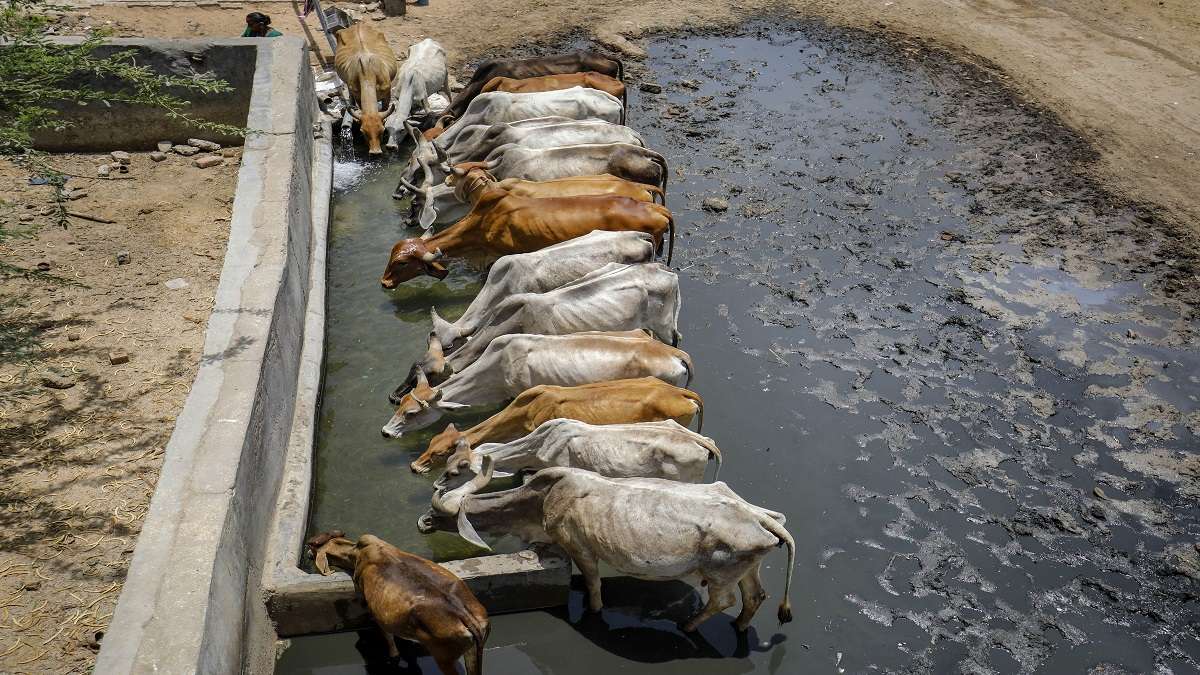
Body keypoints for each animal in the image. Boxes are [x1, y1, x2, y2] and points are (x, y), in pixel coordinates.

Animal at [307, 531, 488, 675]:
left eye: (314, 549)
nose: (307, 553)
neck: (355, 552)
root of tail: (465, 616)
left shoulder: (376, 614)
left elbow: (388, 638)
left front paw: (394, 656)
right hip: (473, 652)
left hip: (444, 658)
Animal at [333, 24, 399, 155]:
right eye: (363, 132)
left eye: (382, 130)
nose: (375, 152)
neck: (368, 74)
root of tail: (357, 25)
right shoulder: (358, 94)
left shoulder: (387, 93)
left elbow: (385, 109)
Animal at [417, 462, 795, 633]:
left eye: (441, 513)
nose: (423, 521)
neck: (540, 501)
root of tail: (760, 516)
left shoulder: (580, 548)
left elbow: (594, 584)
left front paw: (595, 610)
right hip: (749, 568)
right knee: (754, 596)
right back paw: (739, 626)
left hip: (720, 575)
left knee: (723, 600)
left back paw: (688, 626)